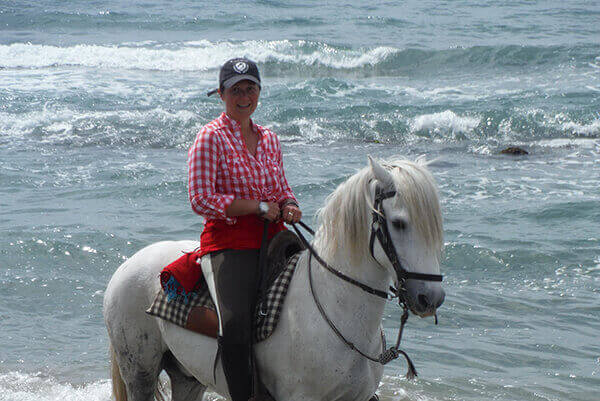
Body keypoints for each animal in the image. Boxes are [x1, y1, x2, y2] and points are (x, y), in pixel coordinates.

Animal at [103, 156, 442, 400]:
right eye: (398, 223)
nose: (431, 298)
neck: (334, 312)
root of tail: (127, 265)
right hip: (139, 371)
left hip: (188, 376)